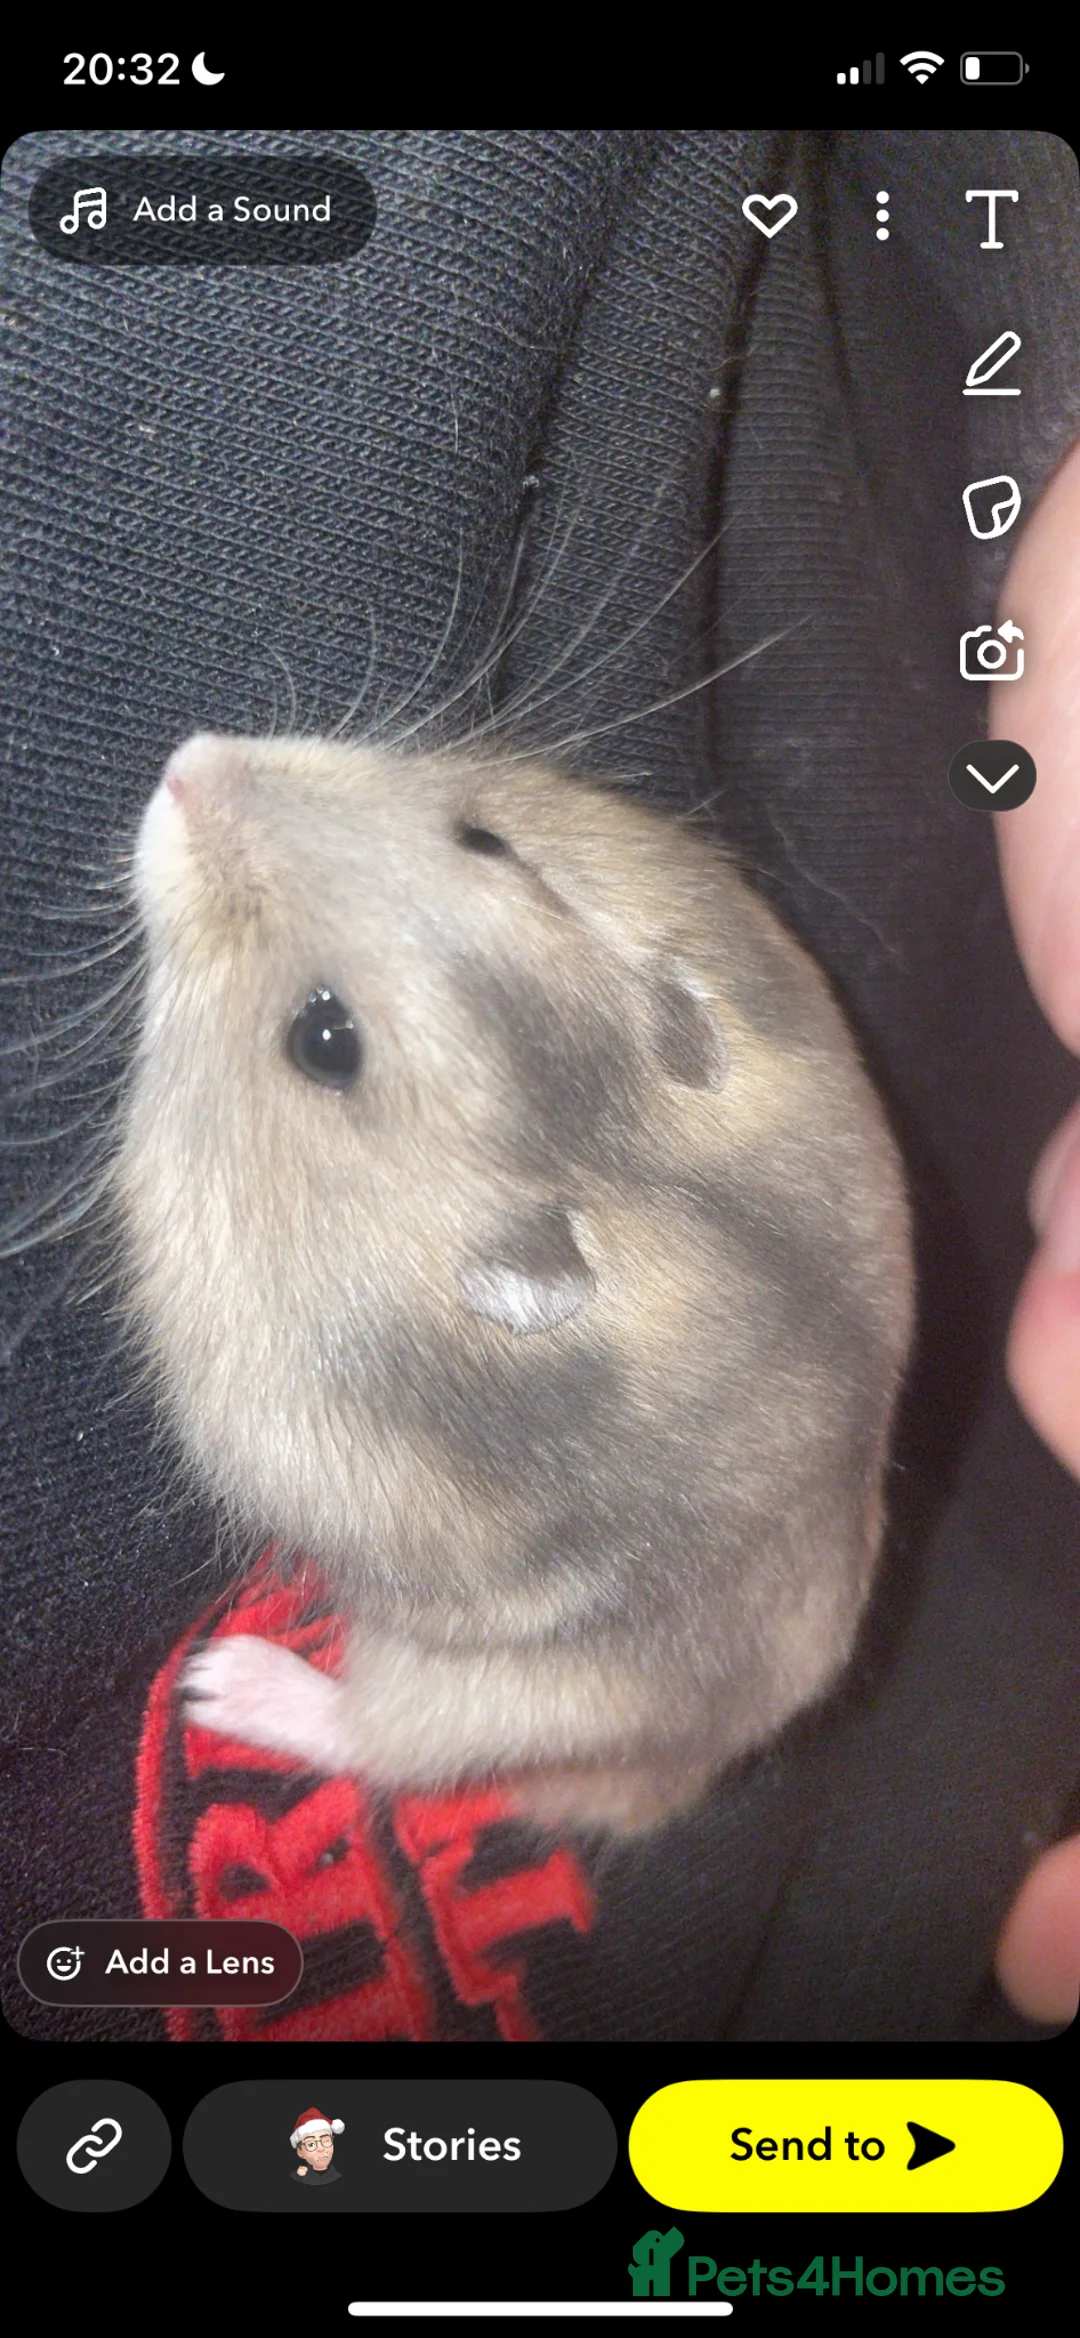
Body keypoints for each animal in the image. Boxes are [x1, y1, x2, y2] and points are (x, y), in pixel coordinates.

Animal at [115, 729, 913, 1834]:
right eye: (485, 837)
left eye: (325, 1039)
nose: (188, 764)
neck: (593, 1149)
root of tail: (683, 1778)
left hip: (487, 1696)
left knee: (384, 1741)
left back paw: (225, 1682)